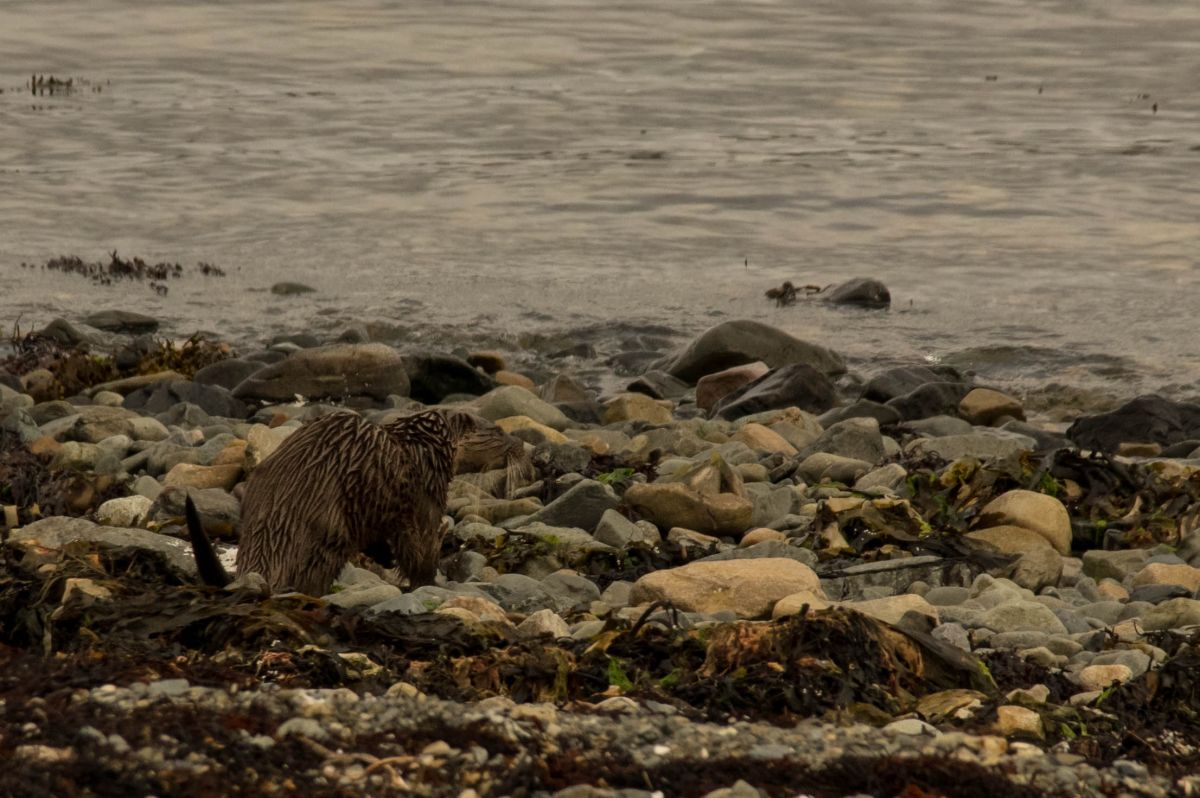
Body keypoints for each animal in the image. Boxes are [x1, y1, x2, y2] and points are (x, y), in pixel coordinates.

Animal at [186, 408, 525, 595]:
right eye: (498, 430)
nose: (522, 443)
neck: (425, 447)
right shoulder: (424, 496)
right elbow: (419, 547)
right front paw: (430, 582)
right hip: (329, 531)